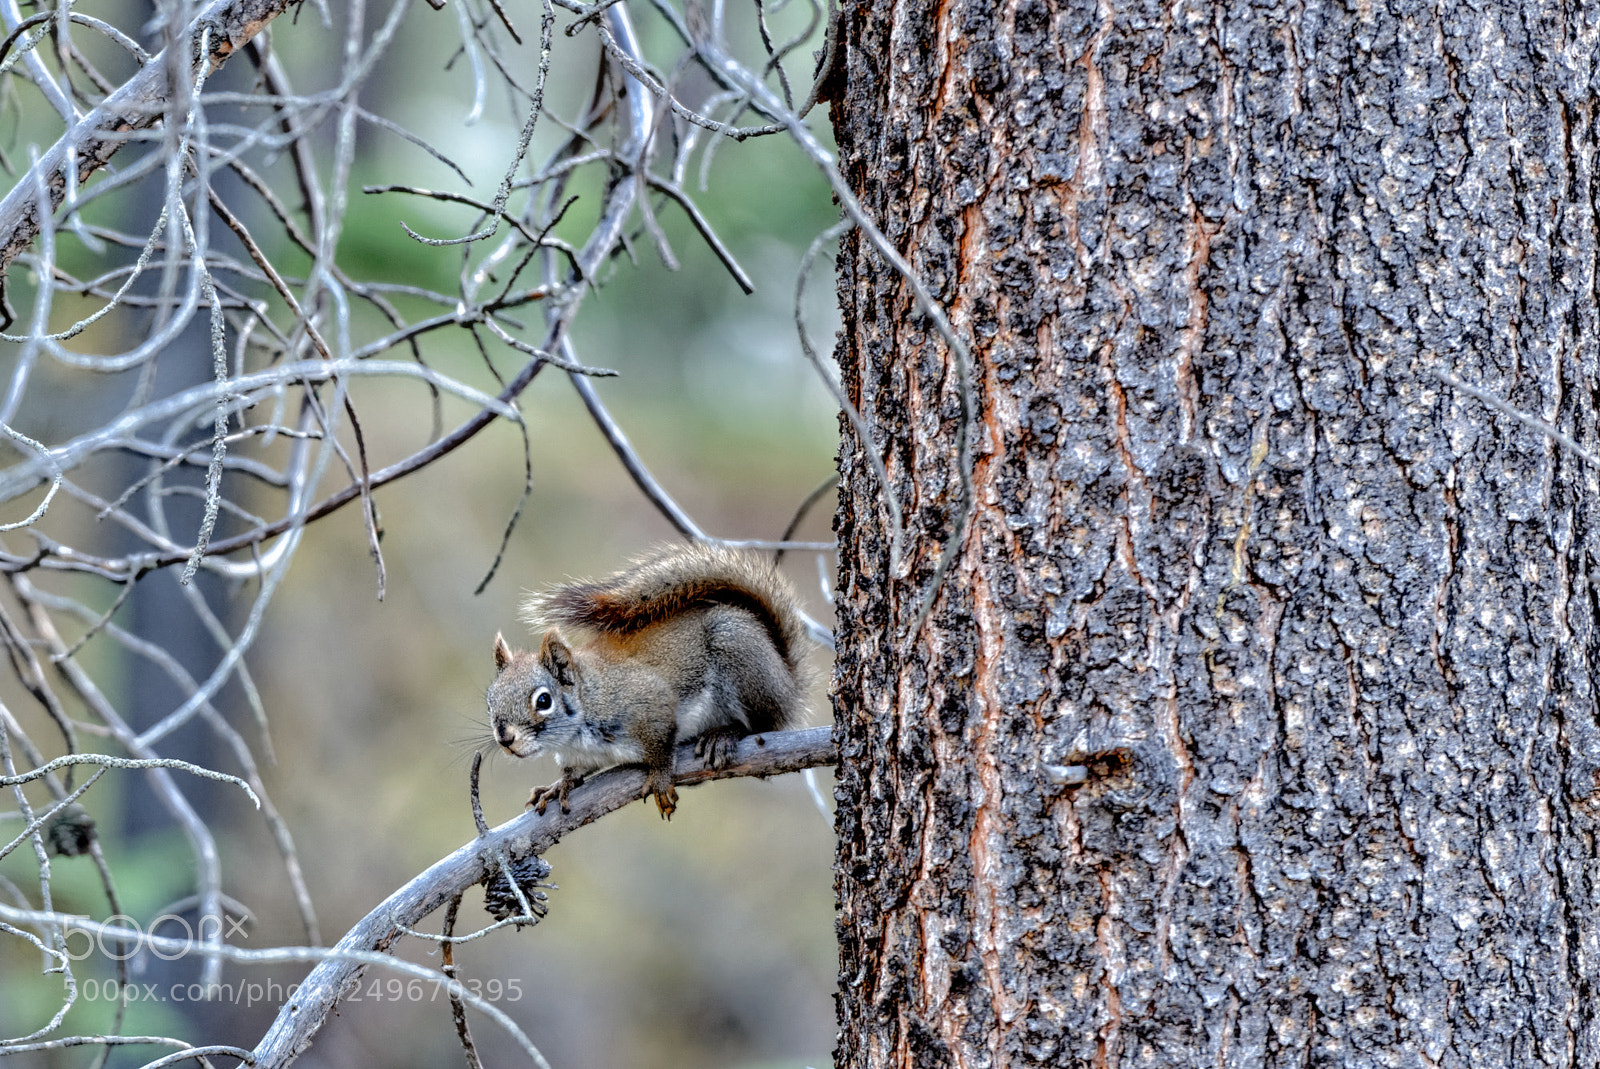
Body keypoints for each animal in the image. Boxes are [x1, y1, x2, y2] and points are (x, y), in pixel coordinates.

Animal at [487, 544, 811, 819]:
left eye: (544, 700)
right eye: (489, 702)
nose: (505, 739)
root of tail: (787, 684)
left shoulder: (650, 702)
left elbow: (662, 744)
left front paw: (660, 776)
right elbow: (576, 771)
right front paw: (559, 786)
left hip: (737, 649)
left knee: (763, 724)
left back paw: (724, 735)